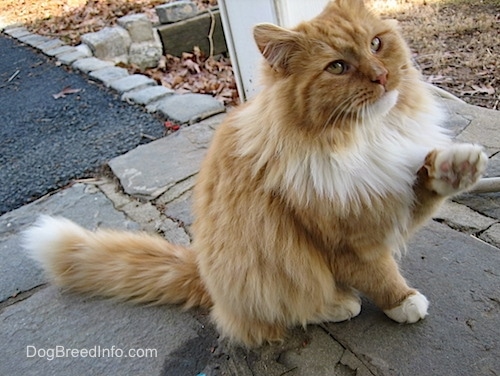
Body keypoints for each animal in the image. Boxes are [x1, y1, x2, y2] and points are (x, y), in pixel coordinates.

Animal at [24, 0, 488, 346]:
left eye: (377, 44)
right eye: (337, 67)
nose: (382, 76)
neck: (365, 137)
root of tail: (202, 271)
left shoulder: (387, 196)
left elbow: (426, 184)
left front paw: (458, 167)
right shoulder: (348, 237)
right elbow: (381, 275)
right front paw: (403, 302)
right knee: (282, 311)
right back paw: (339, 304)